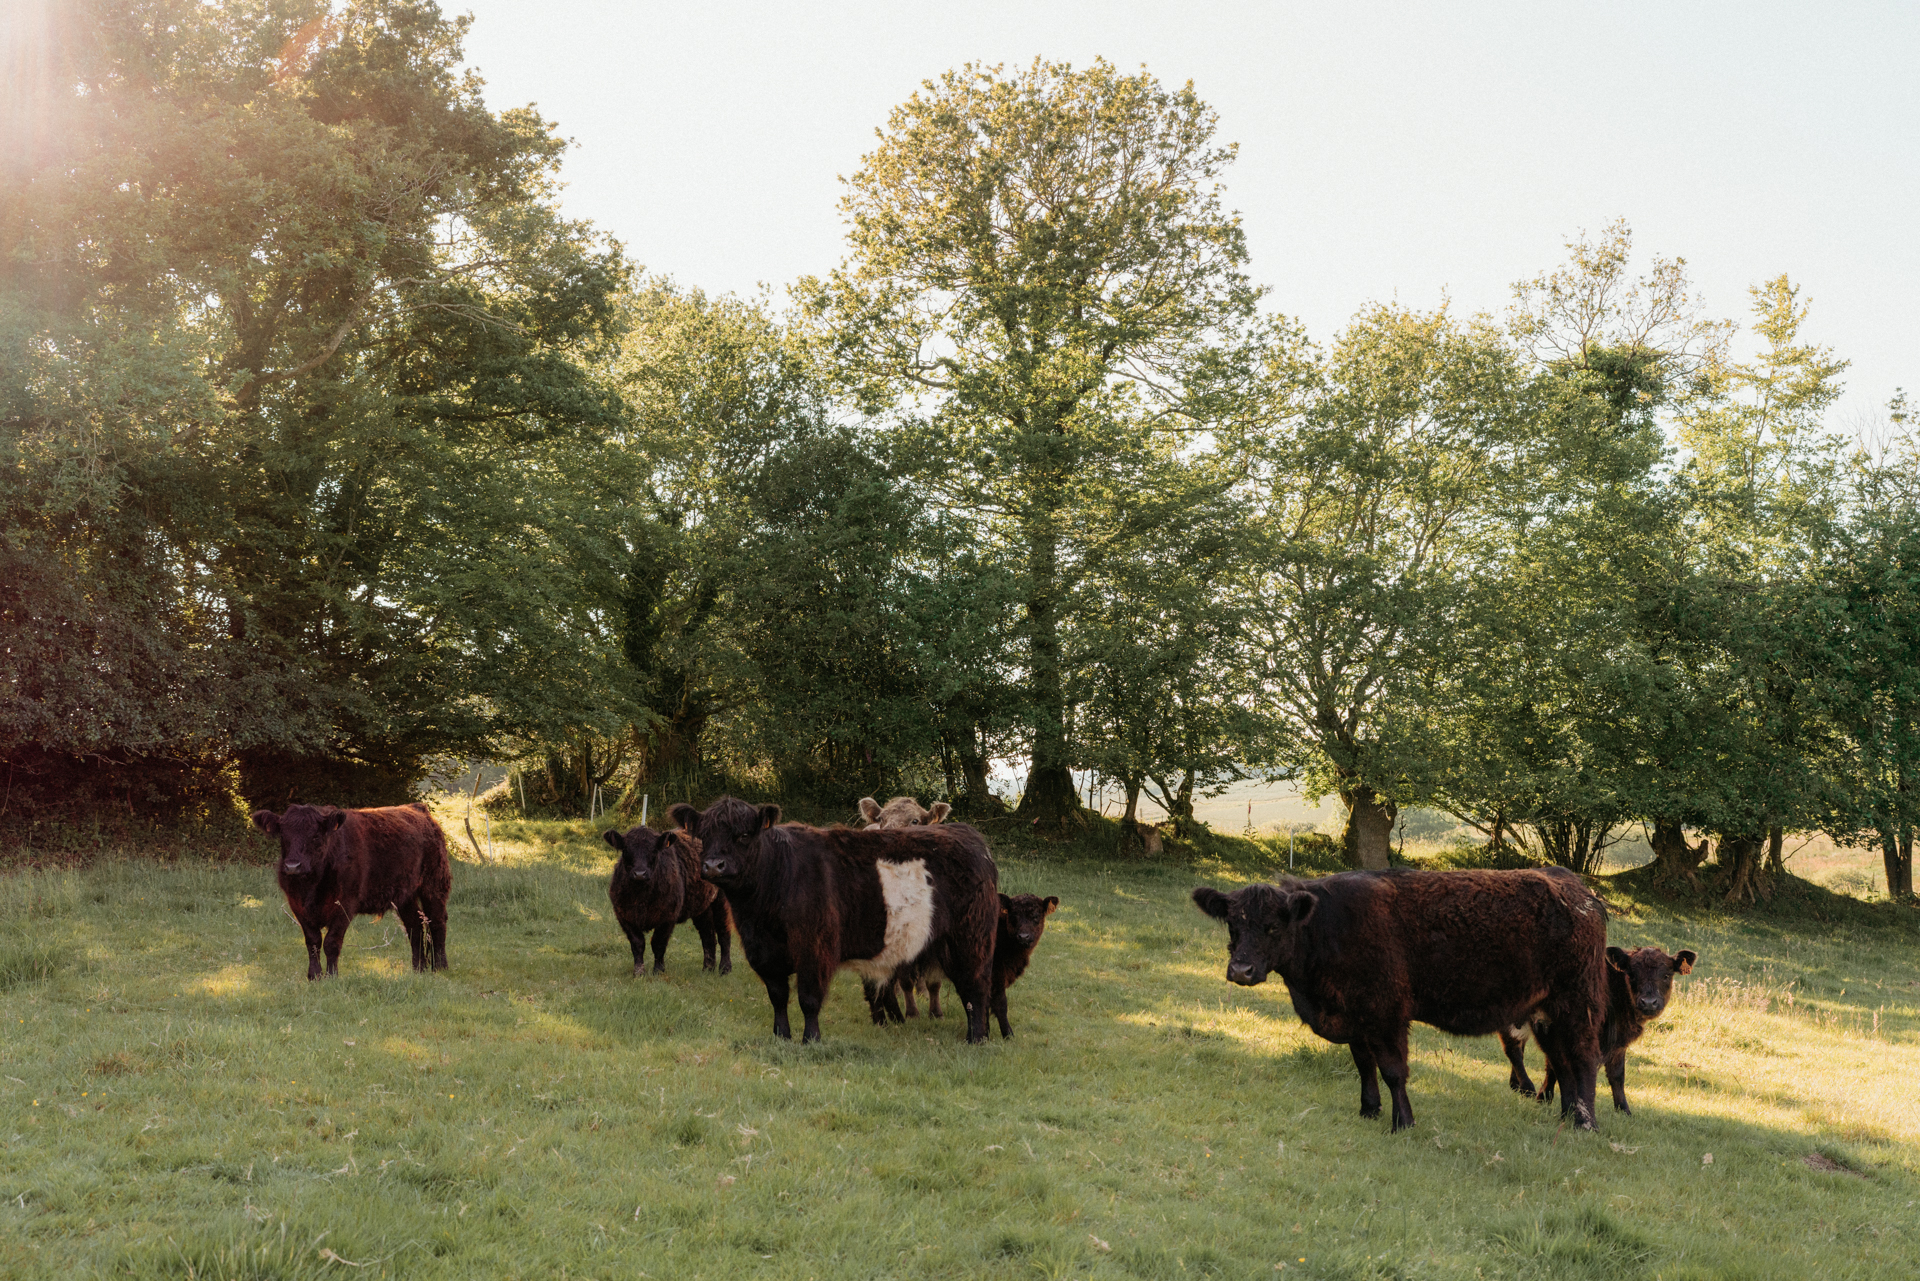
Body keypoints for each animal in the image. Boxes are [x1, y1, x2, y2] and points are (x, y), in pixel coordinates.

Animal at [251, 802, 449, 983]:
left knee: (437, 922)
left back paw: (440, 966)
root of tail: (417, 808)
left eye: (315, 836)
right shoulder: (298, 906)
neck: (311, 886)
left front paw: (331, 976)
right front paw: (314, 976)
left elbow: (331, 942)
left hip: (434, 885)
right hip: (404, 896)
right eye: (283, 836)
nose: (292, 866)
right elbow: (313, 941)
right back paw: (419, 969)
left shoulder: (345, 904)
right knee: (415, 925)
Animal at [602, 825, 729, 975]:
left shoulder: (668, 917)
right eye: (626, 850)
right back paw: (707, 969)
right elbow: (637, 943)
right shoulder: (624, 916)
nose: (640, 874)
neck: (641, 898)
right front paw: (639, 972)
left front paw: (658, 971)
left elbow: (658, 943)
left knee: (723, 933)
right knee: (708, 935)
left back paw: (725, 969)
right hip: (702, 906)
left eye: (654, 850)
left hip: (721, 901)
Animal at [672, 795, 1006, 1044]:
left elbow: (808, 998)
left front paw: (811, 1040)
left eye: (743, 835)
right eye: (703, 836)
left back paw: (976, 1038)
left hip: (971, 940)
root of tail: (969, 834)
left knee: (976, 987)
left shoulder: (814, 948)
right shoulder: (764, 951)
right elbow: (778, 996)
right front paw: (781, 1036)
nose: (713, 865)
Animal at [1190, 871, 1612, 1129]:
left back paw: (1586, 1124)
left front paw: (1402, 1122)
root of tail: (1578, 890)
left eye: (1273, 927)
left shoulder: (1386, 1011)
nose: (1240, 970)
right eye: (1233, 924)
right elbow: (1364, 1065)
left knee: (1584, 1058)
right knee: (1562, 1061)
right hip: (1546, 1010)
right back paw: (1568, 1117)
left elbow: (1393, 1070)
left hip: (1578, 1000)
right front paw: (1368, 1110)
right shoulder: (1355, 1016)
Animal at [1497, 941, 1697, 1113]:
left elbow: (1617, 1075)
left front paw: (1623, 1109)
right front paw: (1544, 1097)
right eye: (1631, 974)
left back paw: (1516, 1085)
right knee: (1513, 1050)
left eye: (1666, 975)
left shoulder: (1618, 1043)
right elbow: (1555, 1065)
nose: (1649, 1002)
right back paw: (1527, 1087)